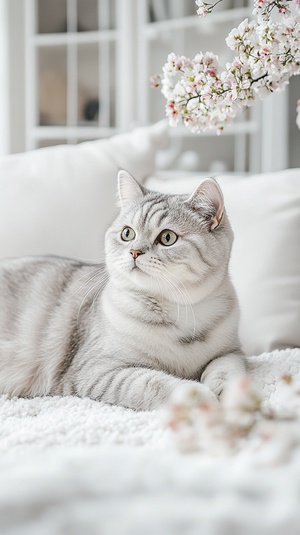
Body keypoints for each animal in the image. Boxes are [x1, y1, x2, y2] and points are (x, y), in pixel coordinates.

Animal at [0, 172, 245, 410]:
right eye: (127, 234)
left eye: (167, 237)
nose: (134, 252)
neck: (180, 311)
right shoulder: (96, 371)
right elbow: (154, 383)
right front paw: (202, 397)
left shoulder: (231, 351)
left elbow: (229, 368)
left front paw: (230, 394)